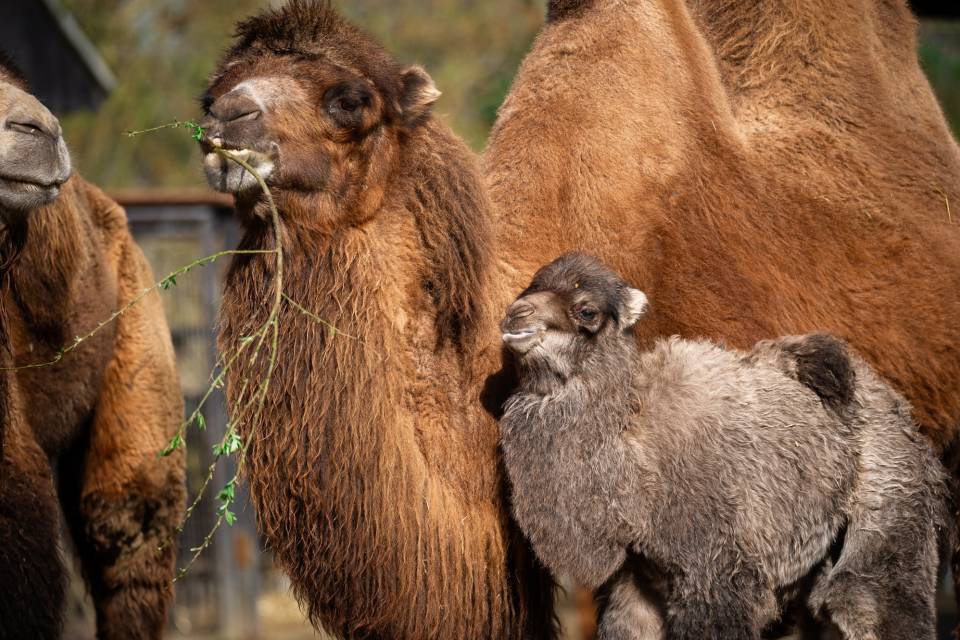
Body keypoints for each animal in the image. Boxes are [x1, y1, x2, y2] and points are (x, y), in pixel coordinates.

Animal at [498, 252, 948, 636]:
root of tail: (892, 402)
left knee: (866, 596)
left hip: (890, 498)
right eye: (530, 288)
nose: (516, 314)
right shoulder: (637, 579)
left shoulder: (717, 571)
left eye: (586, 309)